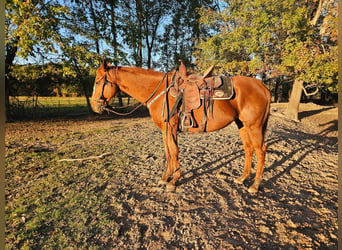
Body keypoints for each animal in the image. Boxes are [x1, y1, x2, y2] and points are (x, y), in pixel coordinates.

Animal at [90, 60, 270, 193]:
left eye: (98, 82)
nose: (94, 106)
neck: (160, 91)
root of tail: (262, 86)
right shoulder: (165, 130)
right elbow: (168, 152)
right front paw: (165, 178)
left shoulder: (170, 128)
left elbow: (174, 152)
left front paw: (173, 181)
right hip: (242, 125)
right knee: (248, 148)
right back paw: (242, 178)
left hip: (254, 126)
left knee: (260, 150)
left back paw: (254, 185)